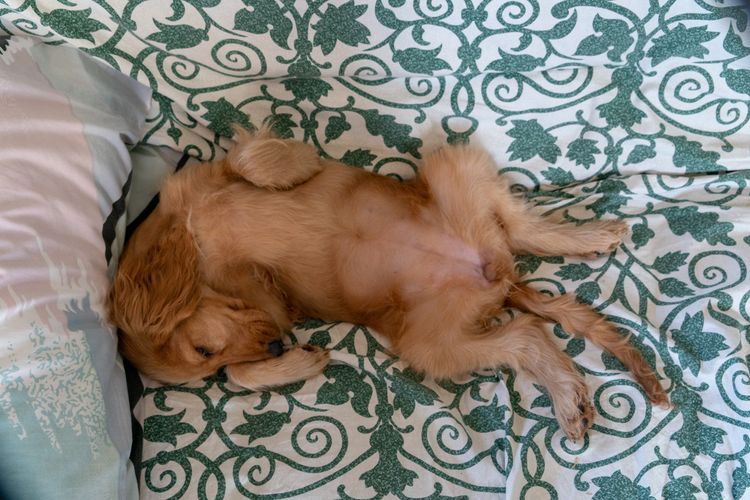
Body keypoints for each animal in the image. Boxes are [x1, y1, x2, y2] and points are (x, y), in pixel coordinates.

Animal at [107, 128, 668, 438]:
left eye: (203, 349)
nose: (277, 346)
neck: (190, 247)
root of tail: (496, 275)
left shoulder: (207, 179)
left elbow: (248, 159)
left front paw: (295, 168)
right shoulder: (272, 304)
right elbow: (242, 373)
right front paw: (295, 363)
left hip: (451, 166)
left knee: (525, 228)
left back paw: (593, 235)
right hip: (431, 344)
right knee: (526, 334)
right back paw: (566, 394)